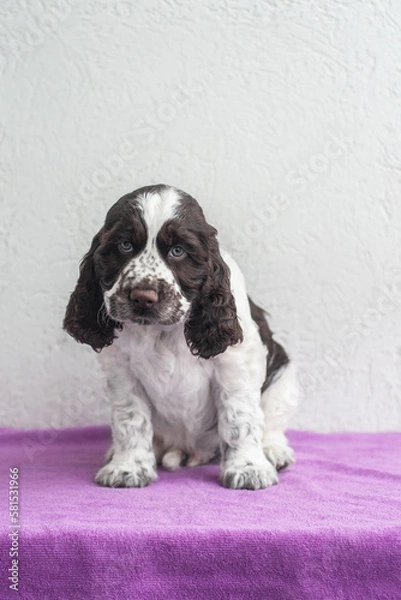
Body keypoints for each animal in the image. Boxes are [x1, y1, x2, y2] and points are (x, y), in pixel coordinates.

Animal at [63, 185, 296, 490]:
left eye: (178, 251)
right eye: (124, 245)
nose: (143, 297)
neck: (161, 331)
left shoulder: (235, 366)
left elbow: (239, 417)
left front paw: (249, 468)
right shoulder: (122, 372)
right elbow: (130, 419)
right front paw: (128, 467)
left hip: (283, 379)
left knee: (272, 421)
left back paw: (273, 451)